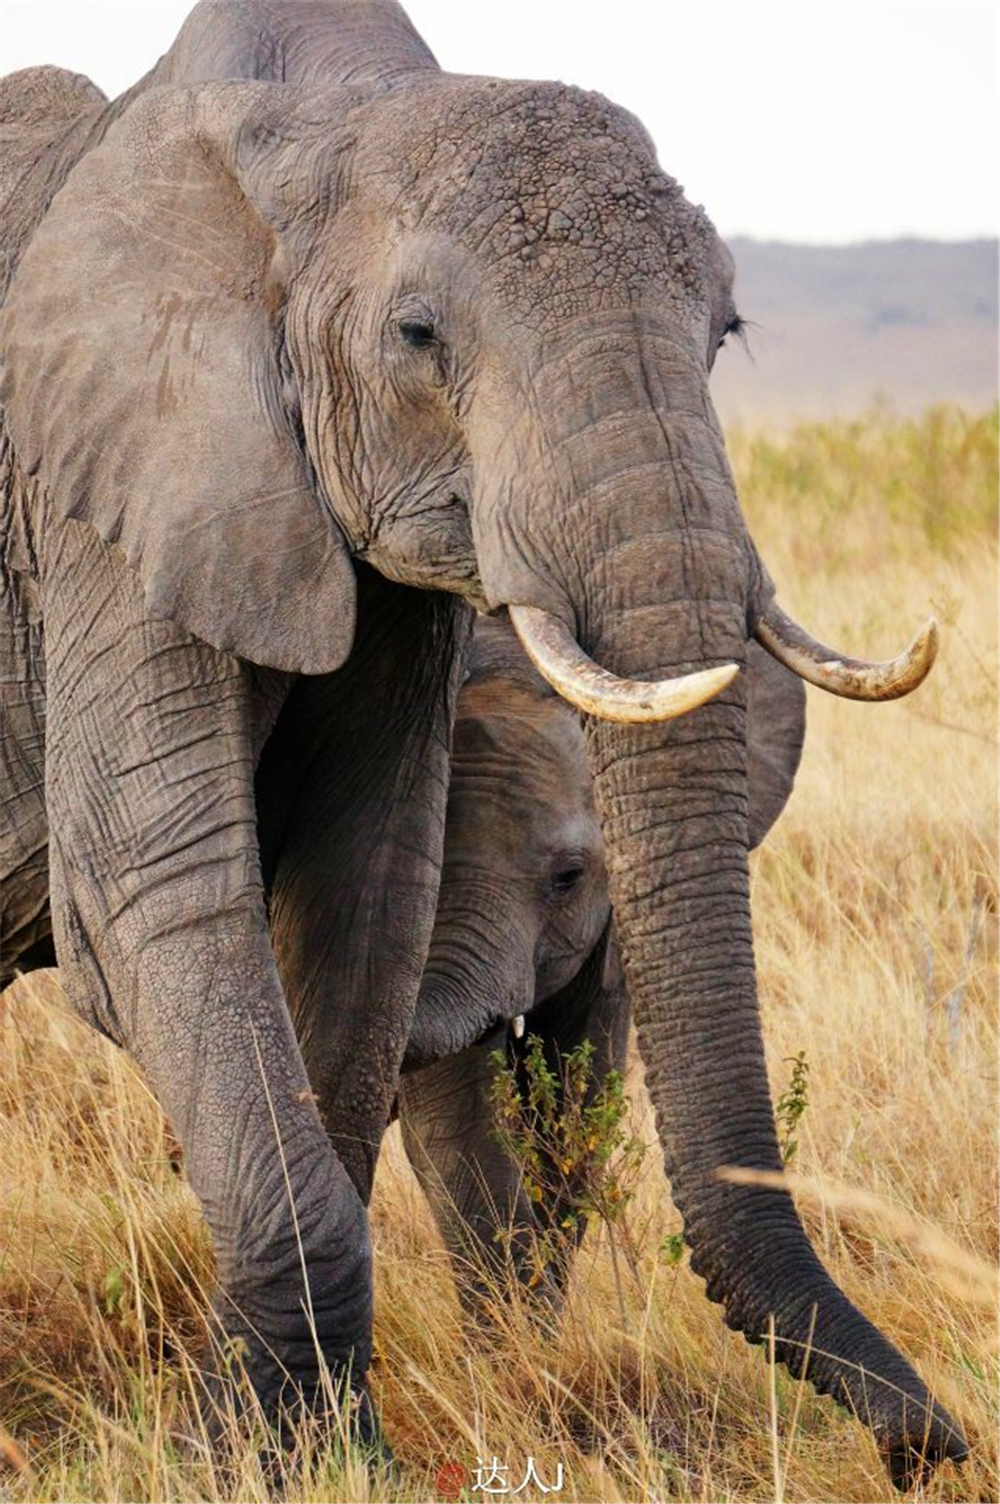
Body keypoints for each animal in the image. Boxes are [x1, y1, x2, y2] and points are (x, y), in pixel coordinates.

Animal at [0, 0, 962, 1479]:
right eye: (417, 336)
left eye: (728, 328)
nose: (931, 1447)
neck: (310, 128)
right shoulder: (107, 499)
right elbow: (154, 901)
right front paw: (257, 1459)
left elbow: (363, 898)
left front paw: (313, 1452)